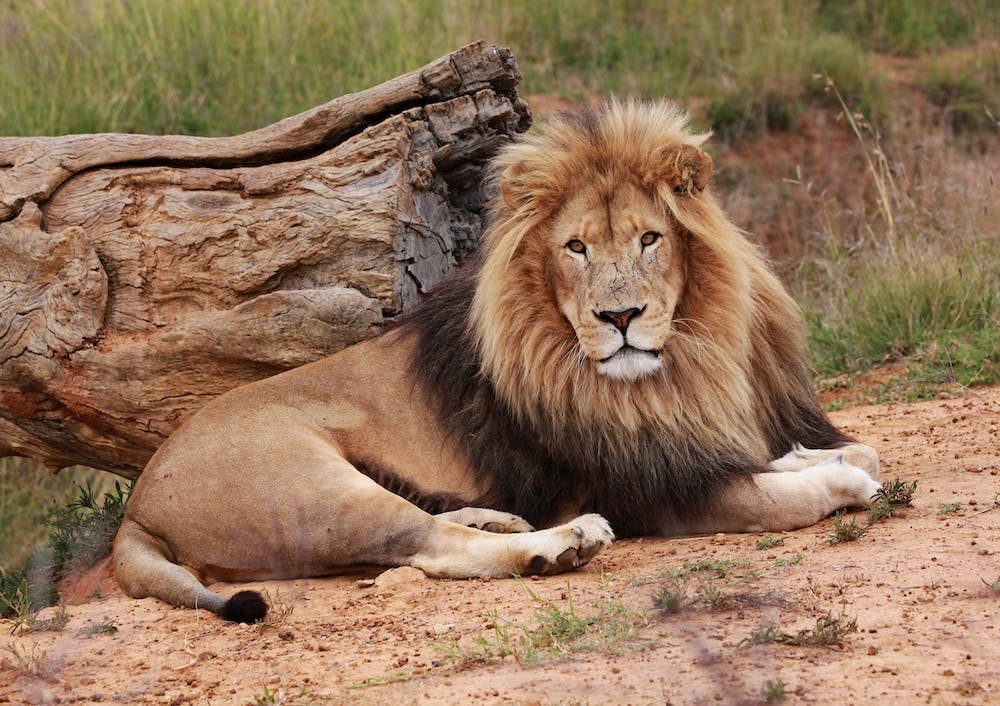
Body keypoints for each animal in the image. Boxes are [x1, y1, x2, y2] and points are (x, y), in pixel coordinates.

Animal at [112, 99, 880, 622]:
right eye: (576, 248)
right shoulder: (654, 490)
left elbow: (823, 452)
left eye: (649, 239)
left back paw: (502, 519)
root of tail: (137, 504)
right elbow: (779, 495)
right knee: (428, 546)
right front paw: (839, 482)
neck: (673, 371)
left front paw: (823, 455)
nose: (621, 318)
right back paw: (559, 542)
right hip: (312, 488)